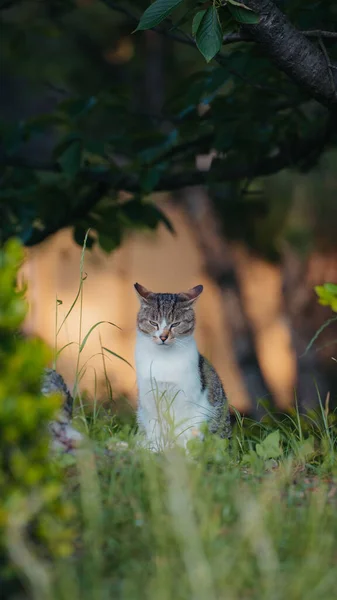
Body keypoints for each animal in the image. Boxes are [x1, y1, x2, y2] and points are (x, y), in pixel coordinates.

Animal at [134, 282, 231, 450]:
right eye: (153, 323)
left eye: (176, 324)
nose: (163, 337)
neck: (163, 360)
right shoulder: (149, 400)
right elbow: (155, 431)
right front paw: (154, 451)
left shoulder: (187, 403)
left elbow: (184, 433)